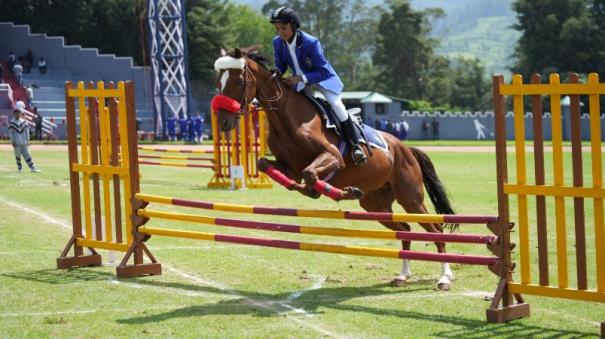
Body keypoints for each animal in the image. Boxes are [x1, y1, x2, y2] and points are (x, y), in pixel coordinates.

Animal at [210, 47, 456, 290]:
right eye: (217, 81)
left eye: (238, 80)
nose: (223, 122)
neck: (288, 117)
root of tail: (405, 148)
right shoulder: (289, 167)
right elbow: (268, 165)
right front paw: (317, 190)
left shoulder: (333, 157)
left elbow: (311, 173)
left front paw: (336, 192)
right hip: (375, 204)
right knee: (404, 229)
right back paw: (403, 275)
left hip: (411, 199)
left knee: (436, 230)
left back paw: (444, 278)